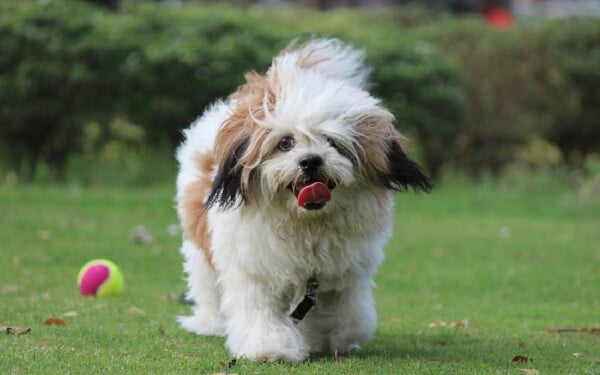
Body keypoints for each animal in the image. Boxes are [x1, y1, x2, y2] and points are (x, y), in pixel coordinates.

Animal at [173, 37, 432, 362]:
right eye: (285, 143)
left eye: (332, 142)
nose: (310, 161)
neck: (305, 223)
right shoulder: (254, 268)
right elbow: (261, 312)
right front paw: (271, 347)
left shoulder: (344, 274)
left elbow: (349, 317)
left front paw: (329, 338)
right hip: (201, 249)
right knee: (206, 285)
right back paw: (210, 323)